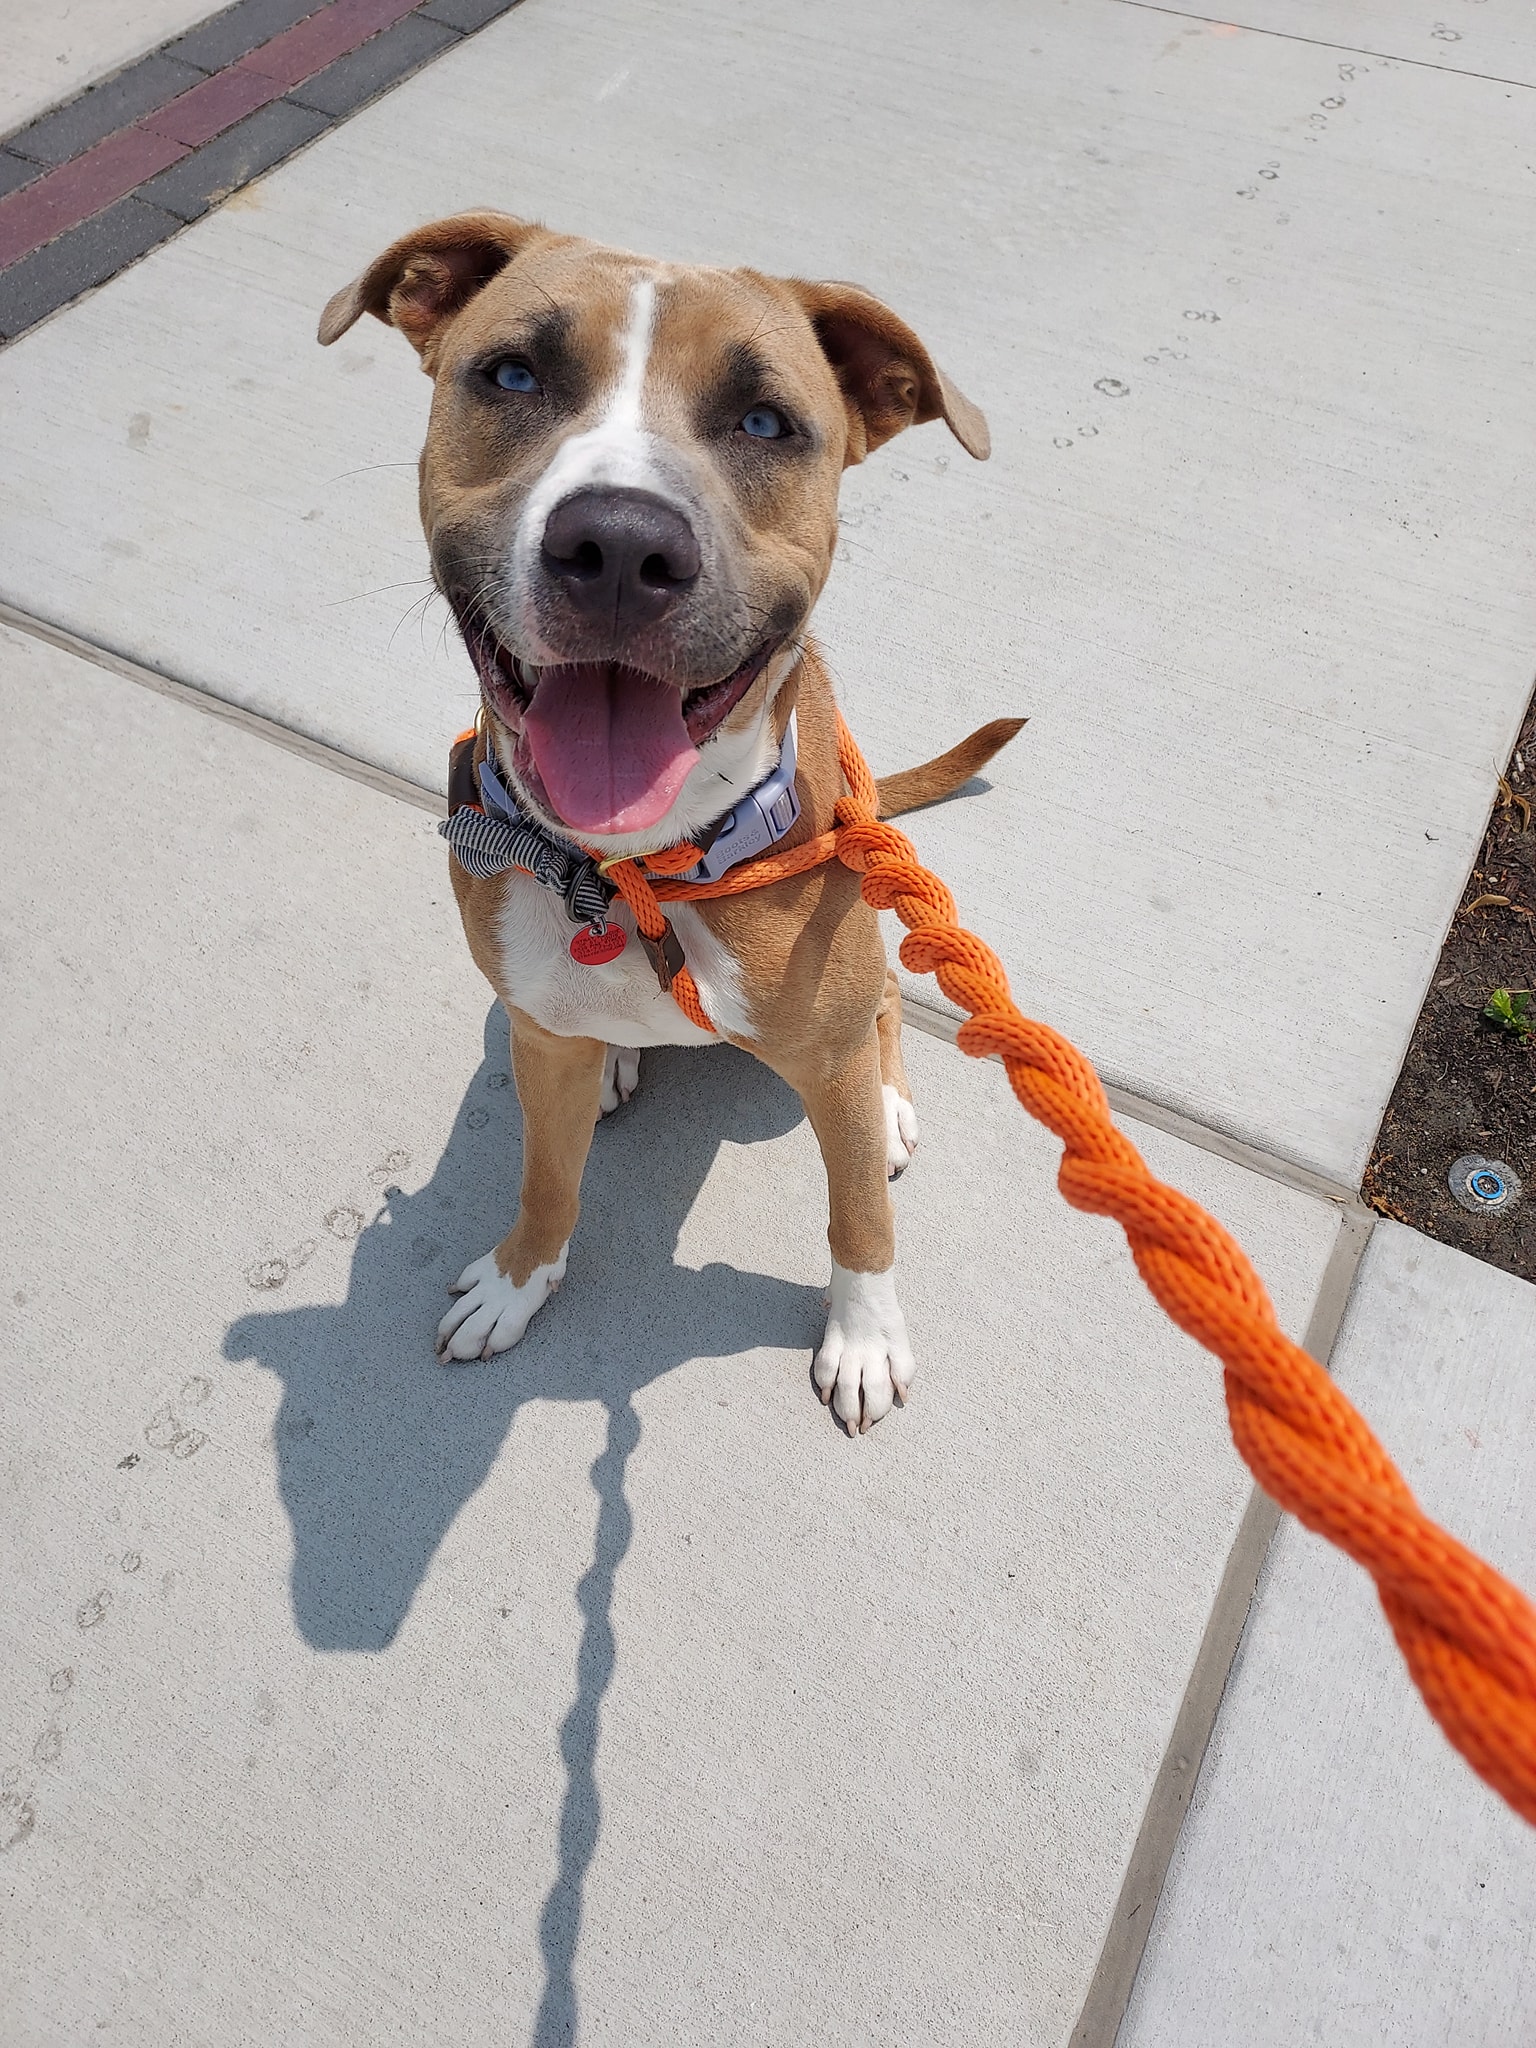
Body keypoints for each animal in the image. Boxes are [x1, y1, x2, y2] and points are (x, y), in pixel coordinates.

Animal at [319, 203, 1024, 1425]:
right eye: (513, 373)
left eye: (765, 421)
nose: (617, 544)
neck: (632, 869)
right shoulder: (538, 1038)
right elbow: (545, 1181)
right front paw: (517, 1280)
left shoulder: (827, 1052)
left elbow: (859, 1216)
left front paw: (864, 1335)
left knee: (889, 1007)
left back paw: (888, 1106)